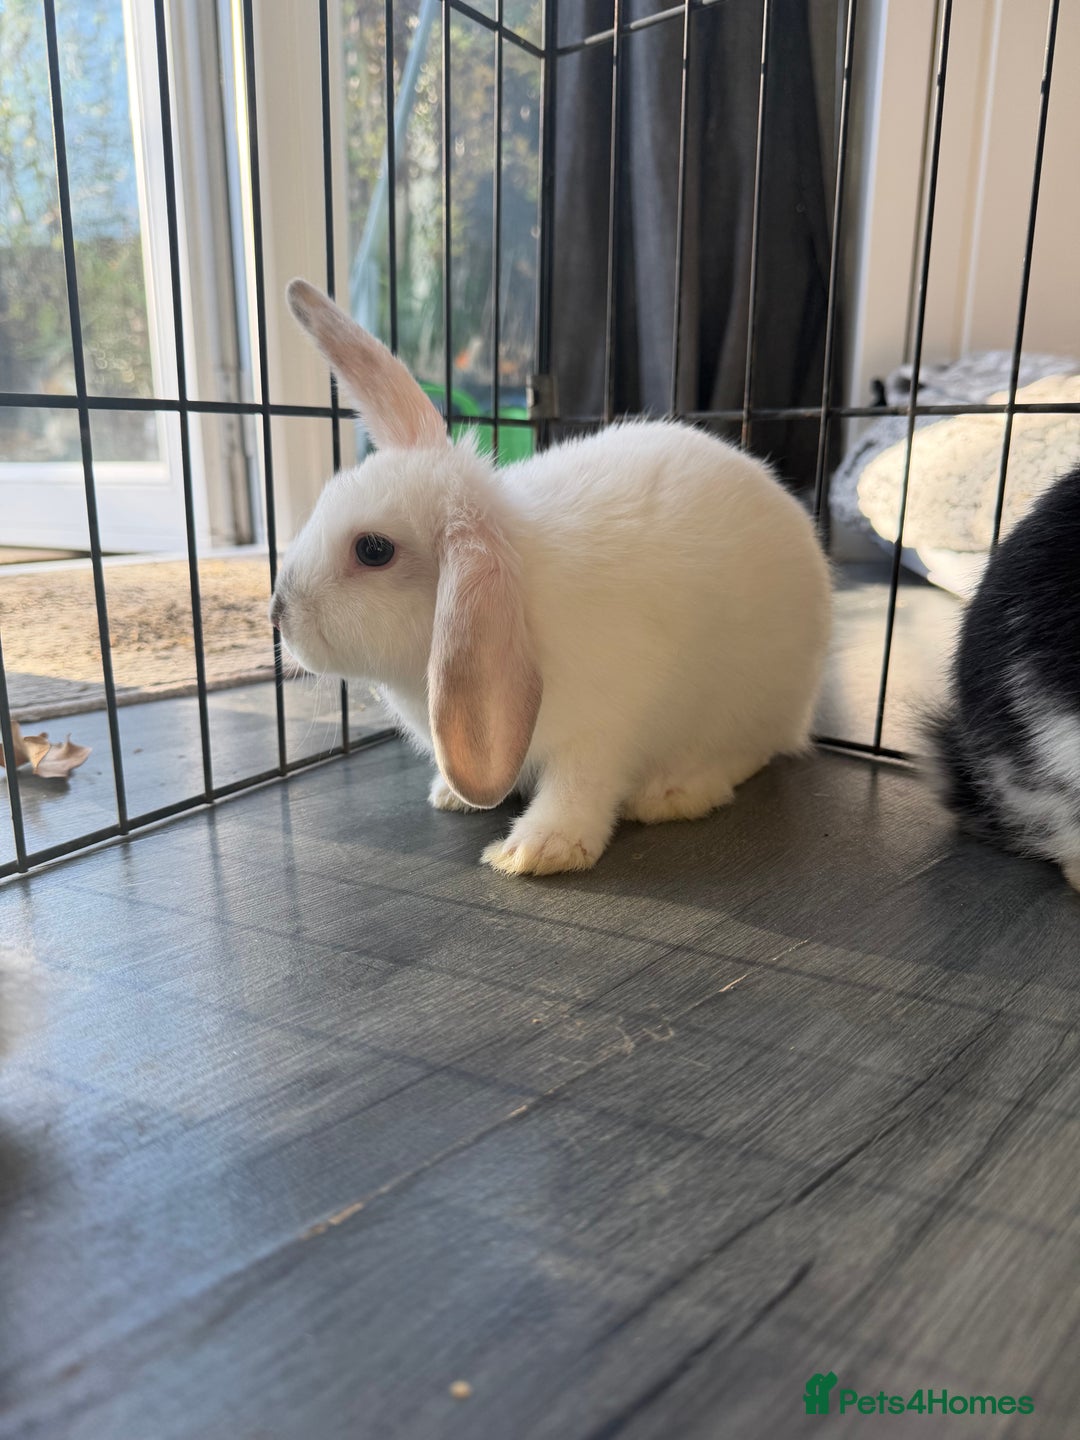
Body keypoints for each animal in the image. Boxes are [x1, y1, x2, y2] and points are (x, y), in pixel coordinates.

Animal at [270, 279, 832, 876]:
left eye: (373, 550)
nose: (277, 613)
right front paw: (451, 795)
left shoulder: (604, 730)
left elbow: (578, 787)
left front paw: (536, 851)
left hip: (754, 702)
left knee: (750, 753)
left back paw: (674, 793)